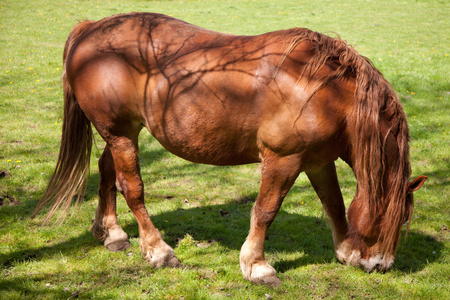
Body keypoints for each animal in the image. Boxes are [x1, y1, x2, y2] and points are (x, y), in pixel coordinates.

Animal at [34, 12, 426, 288]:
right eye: (391, 218)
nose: (380, 266)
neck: (324, 89)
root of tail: (90, 29)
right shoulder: (283, 160)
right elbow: (265, 211)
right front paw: (257, 267)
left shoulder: (317, 161)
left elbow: (334, 204)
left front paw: (344, 250)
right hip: (121, 135)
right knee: (132, 188)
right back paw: (158, 250)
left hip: (119, 135)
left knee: (106, 172)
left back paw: (112, 234)